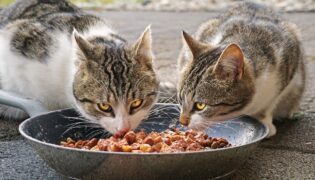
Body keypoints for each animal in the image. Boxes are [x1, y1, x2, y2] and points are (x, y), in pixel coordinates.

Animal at [178, 1, 306, 137]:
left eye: (200, 105)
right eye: (180, 98)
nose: (182, 121)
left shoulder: (289, 62)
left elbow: (269, 104)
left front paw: (264, 120)